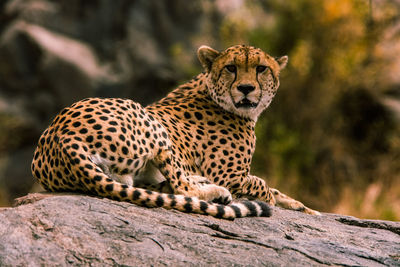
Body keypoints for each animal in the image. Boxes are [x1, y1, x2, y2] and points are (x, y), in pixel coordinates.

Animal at [30, 44, 318, 220]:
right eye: (231, 68)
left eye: (261, 68)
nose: (246, 89)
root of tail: (60, 137)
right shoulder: (229, 175)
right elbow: (263, 185)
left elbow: (277, 190)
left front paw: (303, 208)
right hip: (147, 120)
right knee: (182, 186)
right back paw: (214, 192)